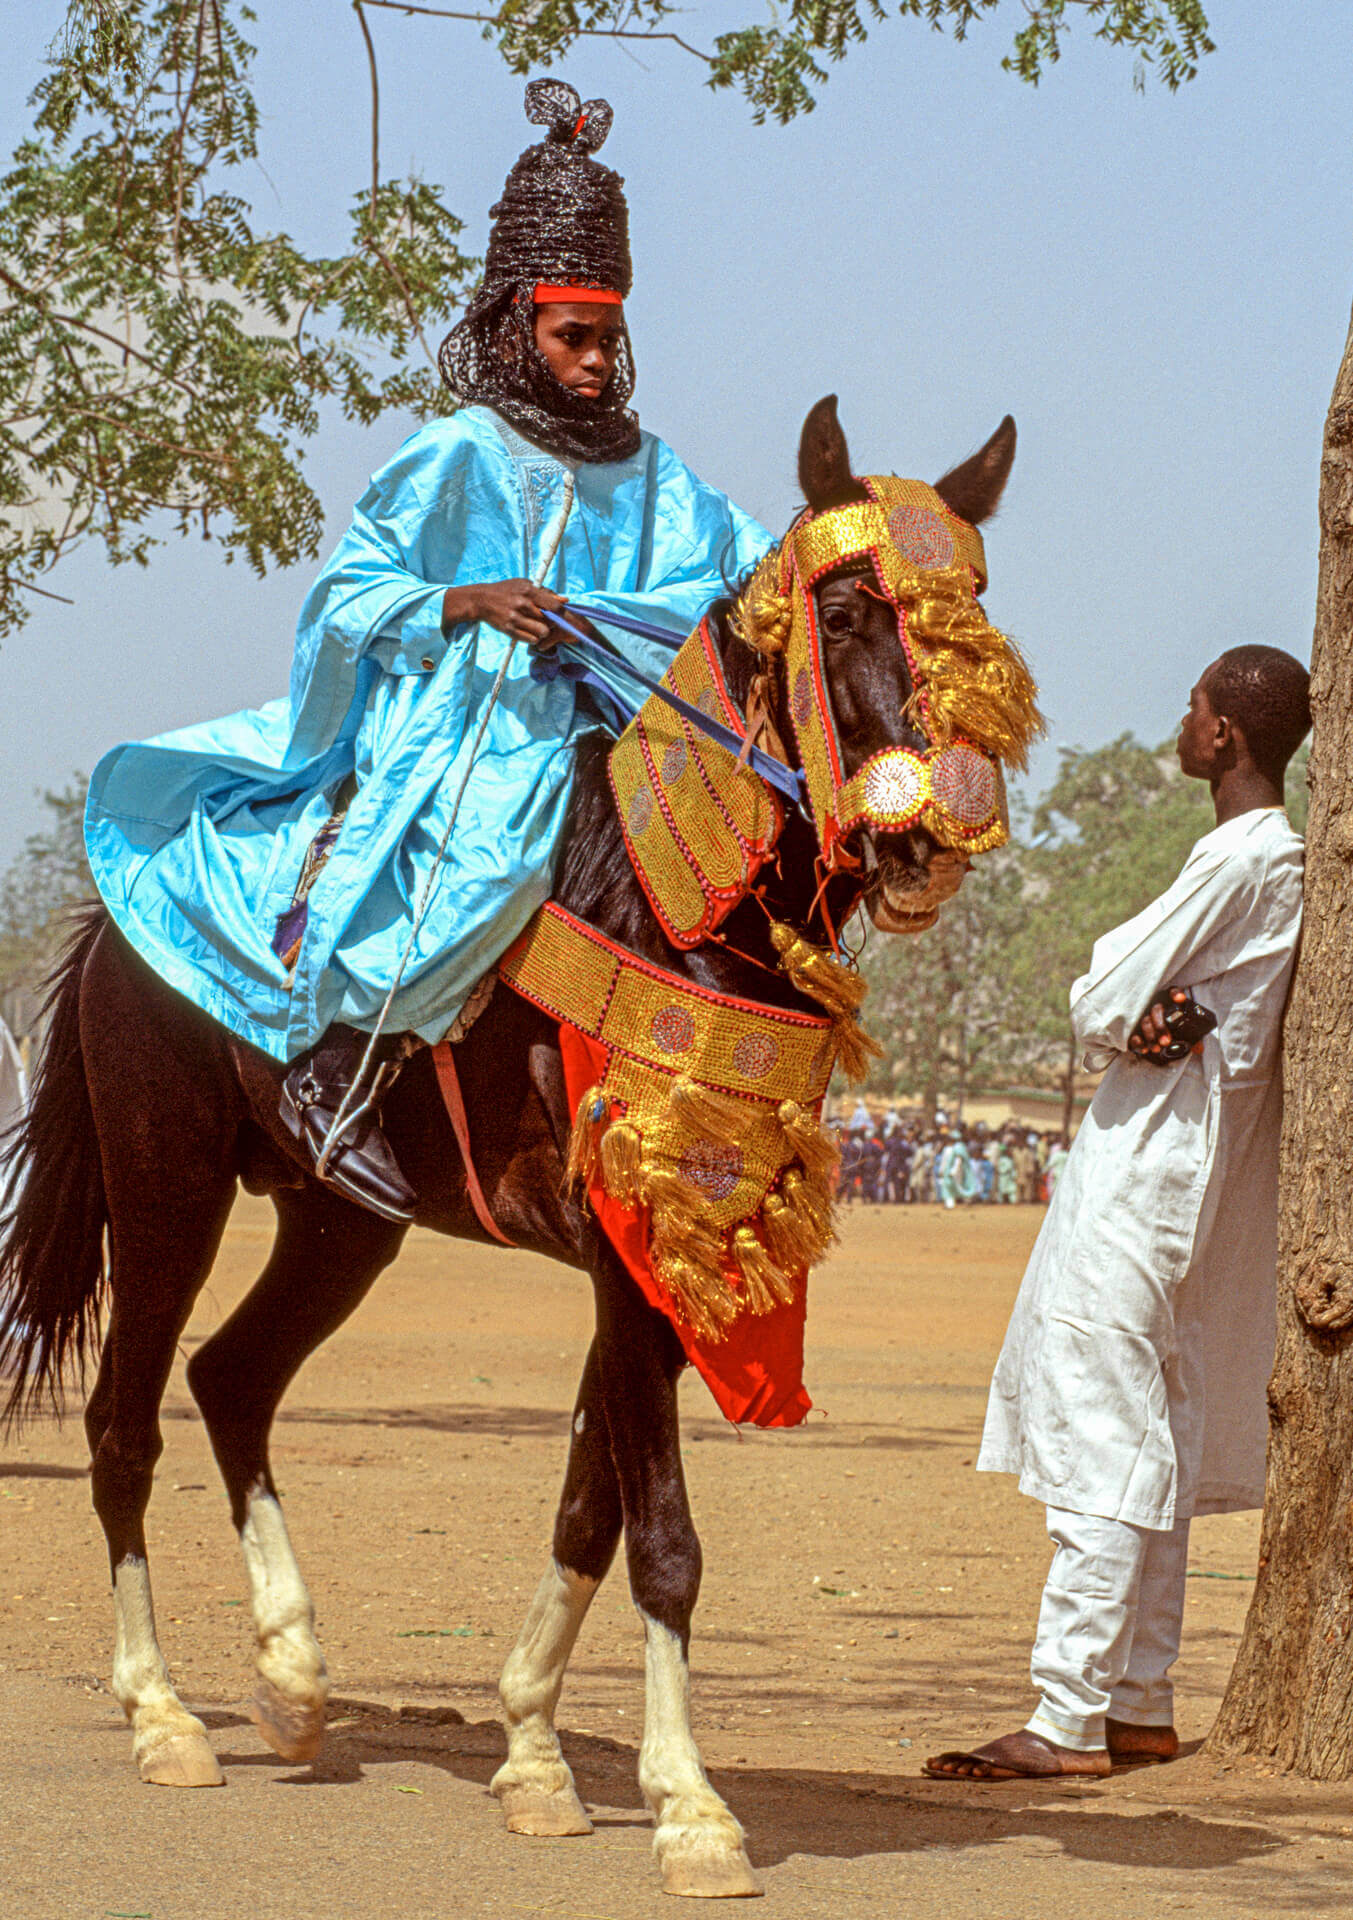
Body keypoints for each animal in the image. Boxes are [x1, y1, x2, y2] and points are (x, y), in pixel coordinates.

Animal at [2, 397, 1036, 1896]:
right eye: (844, 612)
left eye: (977, 612)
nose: (933, 835)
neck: (668, 905)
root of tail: (107, 921)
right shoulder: (625, 1245)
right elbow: (661, 1536)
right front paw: (691, 1808)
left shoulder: (668, 1261)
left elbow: (587, 1511)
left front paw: (537, 1757)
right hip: (165, 1186)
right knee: (123, 1421)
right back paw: (164, 1718)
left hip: (341, 1222)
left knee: (231, 1381)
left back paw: (294, 1682)